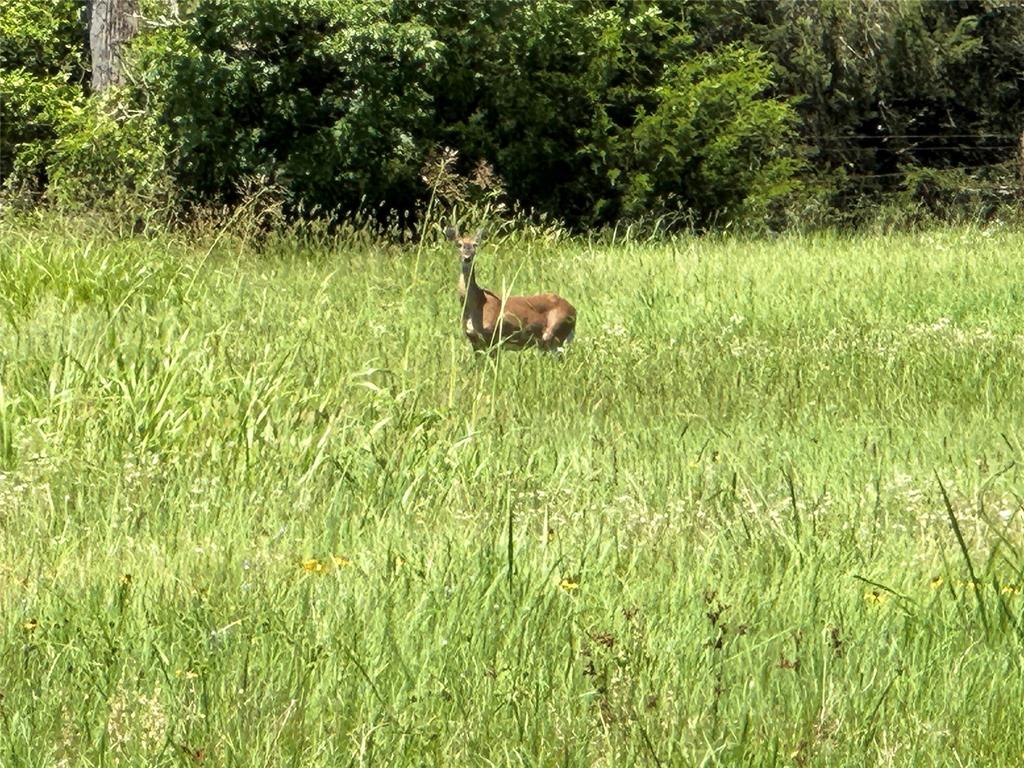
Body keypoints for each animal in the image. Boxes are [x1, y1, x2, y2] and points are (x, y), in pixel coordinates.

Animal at [446, 225, 581, 352]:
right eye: (459, 244)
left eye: (475, 244)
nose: (467, 257)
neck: (477, 303)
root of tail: (573, 310)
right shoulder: (475, 342)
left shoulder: (492, 338)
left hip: (555, 335)